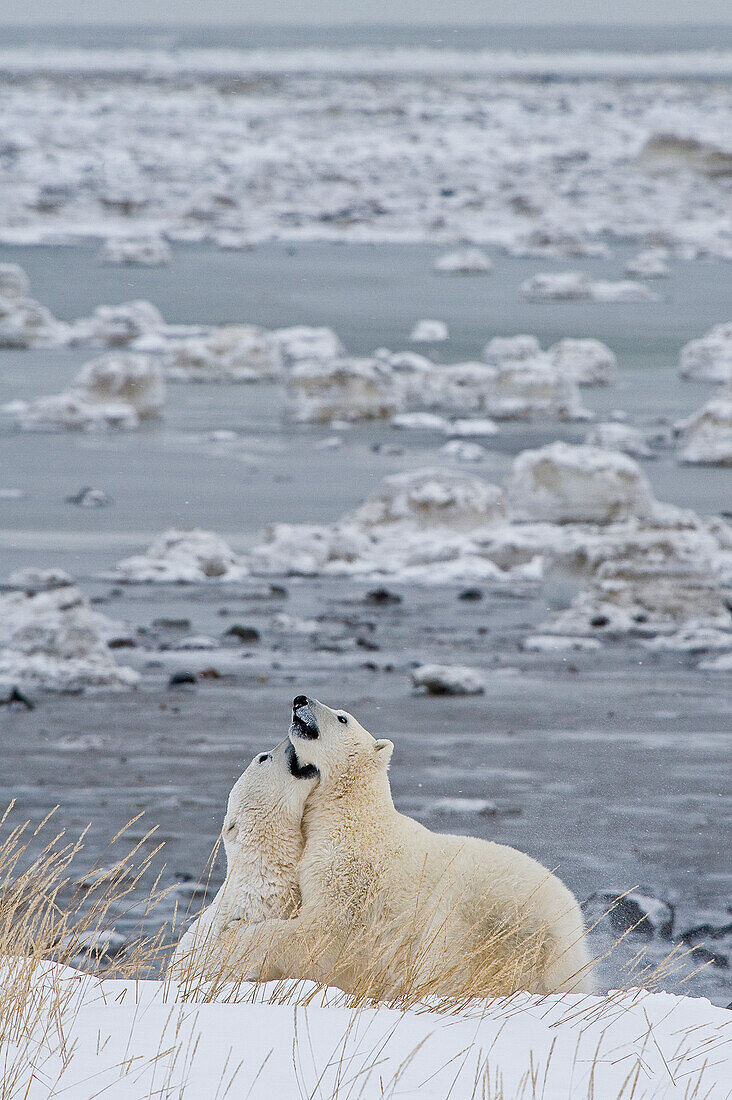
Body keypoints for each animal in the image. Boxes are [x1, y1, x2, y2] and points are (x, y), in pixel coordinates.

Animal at [224, 699, 594, 1003]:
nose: (300, 699)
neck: (352, 815)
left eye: (342, 717)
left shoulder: (353, 876)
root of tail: (572, 945)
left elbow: (322, 931)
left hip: (489, 923)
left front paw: (239, 938)